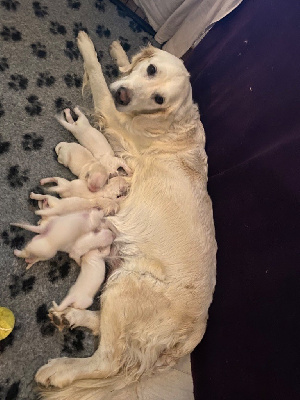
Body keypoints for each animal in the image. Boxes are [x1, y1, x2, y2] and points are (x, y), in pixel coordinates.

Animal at [35, 32, 217, 400]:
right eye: (151, 69)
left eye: (159, 99)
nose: (125, 95)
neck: (170, 124)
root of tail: (192, 337)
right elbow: (118, 67)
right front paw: (120, 54)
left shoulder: (111, 112)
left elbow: (97, 76)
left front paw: (87, 44)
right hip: (119, 286)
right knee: (108, 333)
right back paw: (70, 317)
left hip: (128, 285)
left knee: (108, 359)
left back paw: (59, 370)